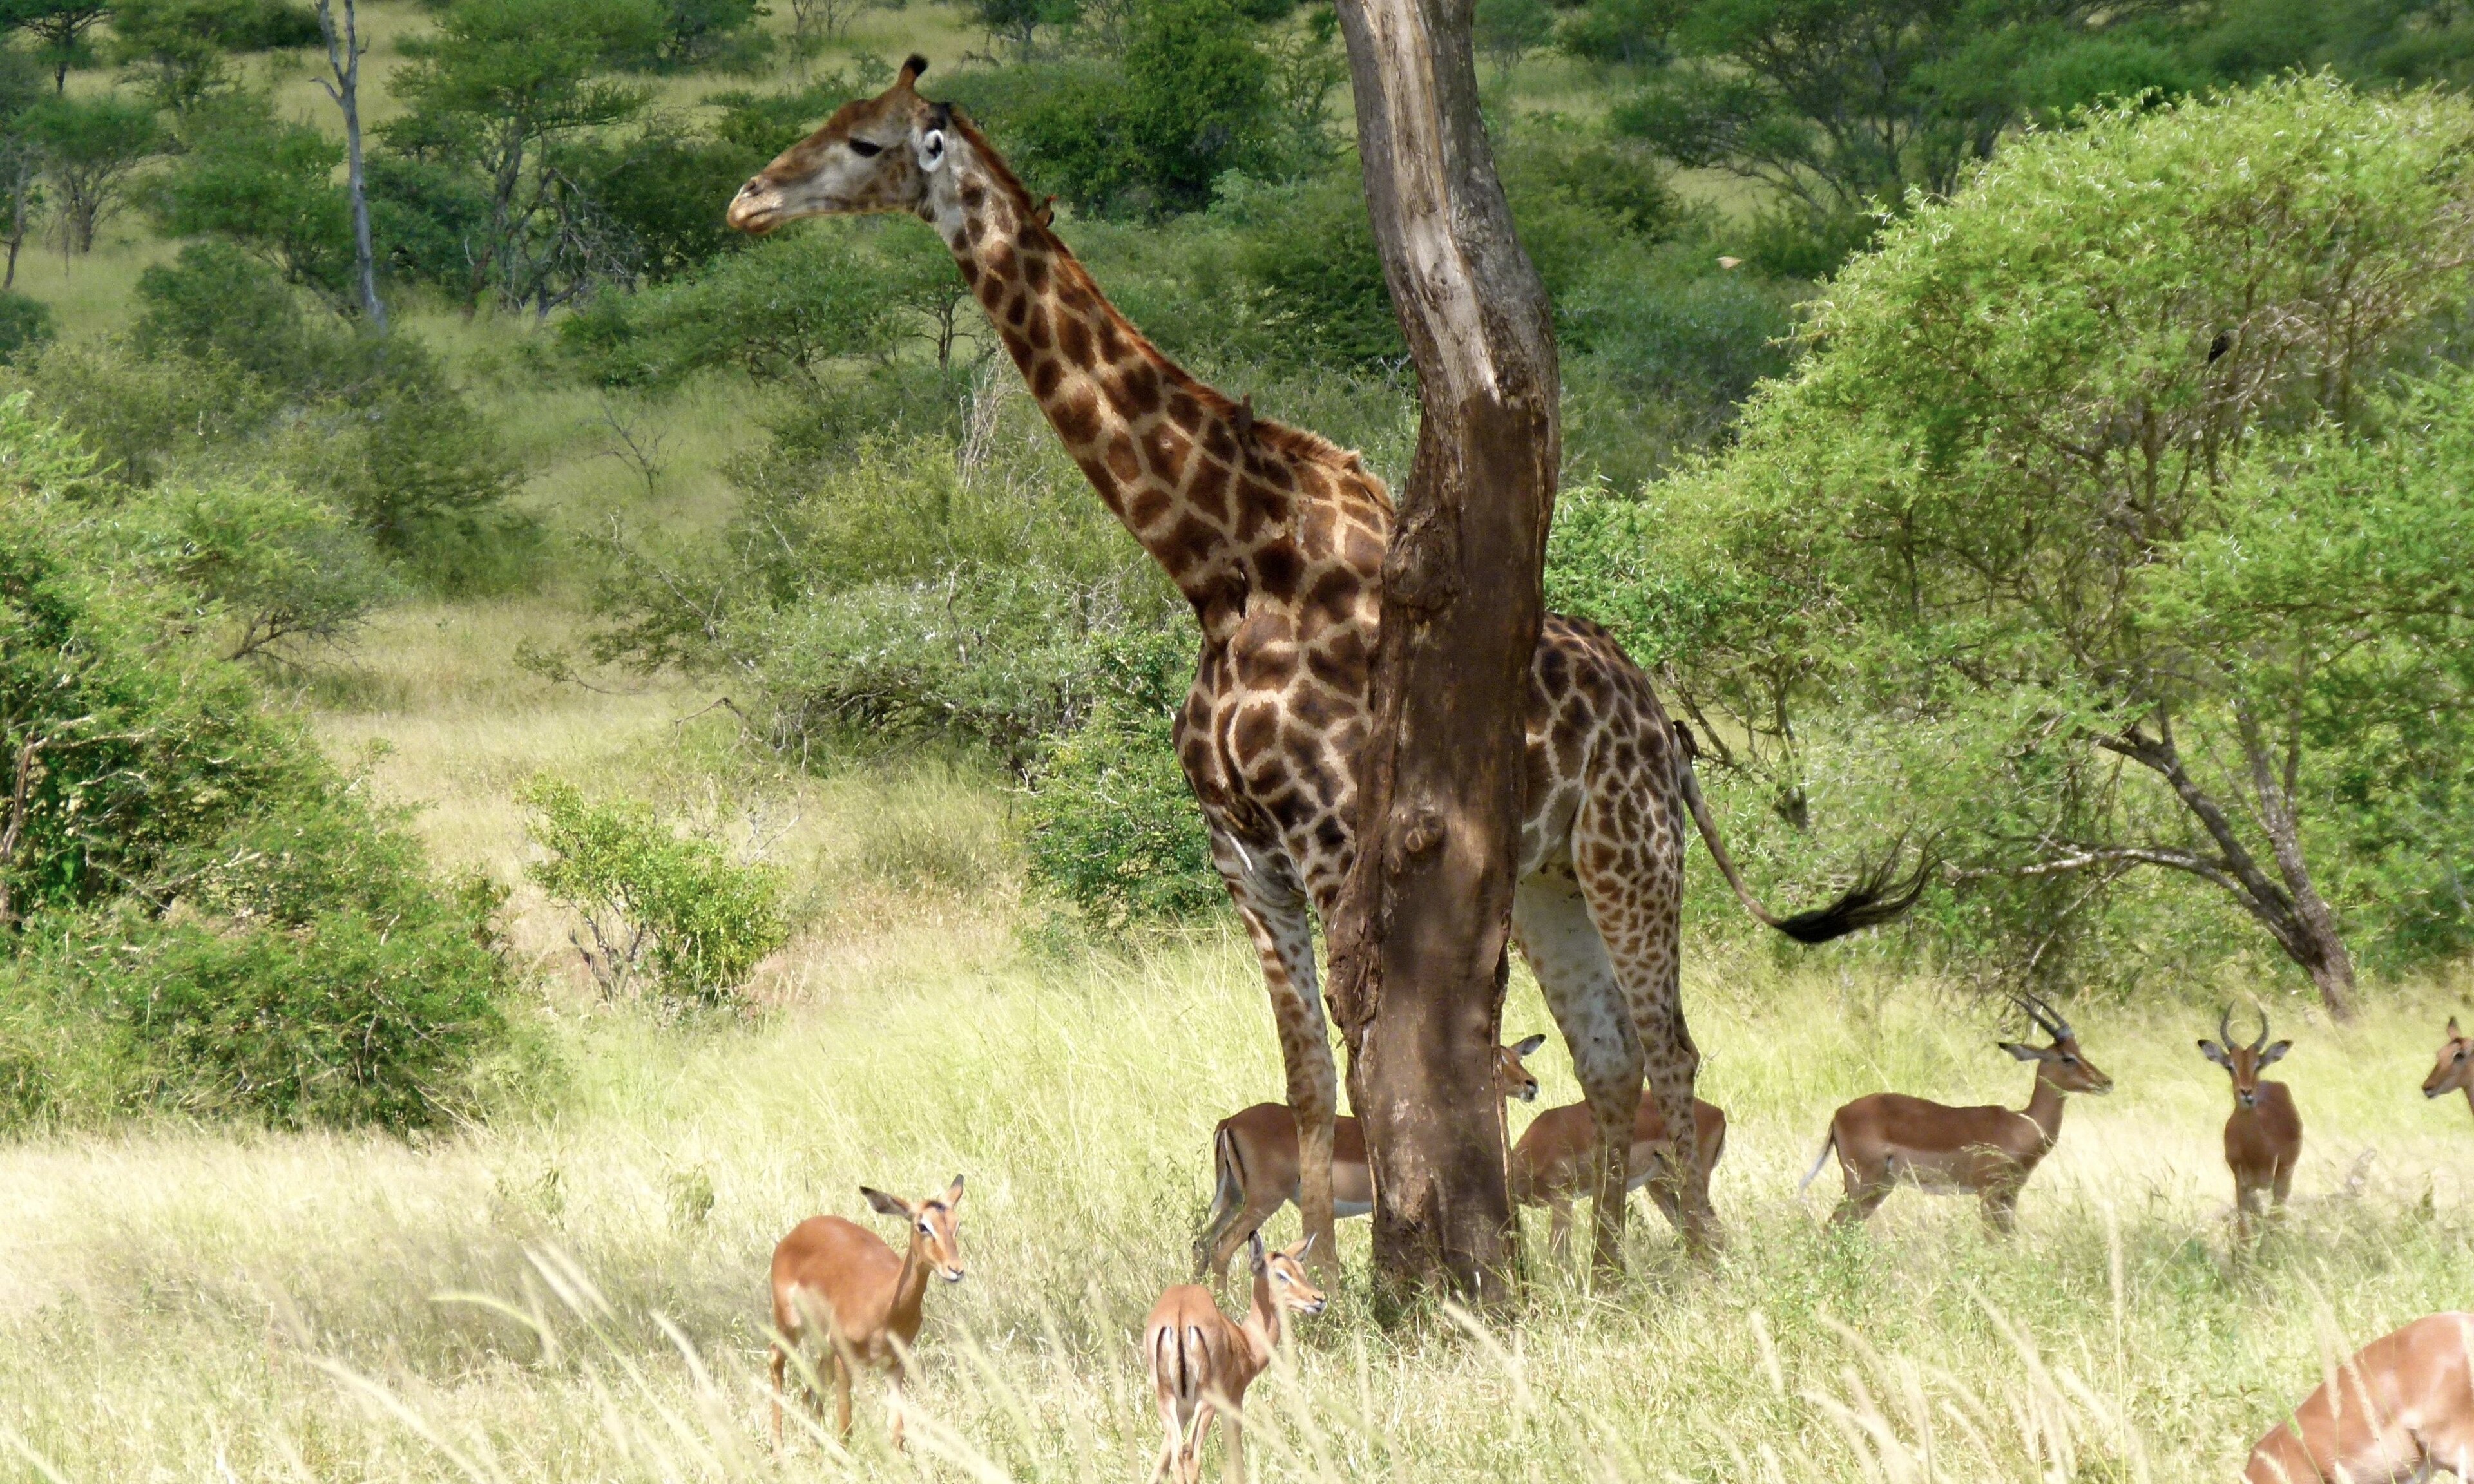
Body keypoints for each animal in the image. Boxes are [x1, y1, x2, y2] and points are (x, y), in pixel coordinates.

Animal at [726, 57, 1919, 1272]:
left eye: (867, 141)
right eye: (826, 120)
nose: (748, 202)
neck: (1225, 560)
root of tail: (1668, 732)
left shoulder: (1337, 832)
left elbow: (1373, 1061)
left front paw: (1376, 1275)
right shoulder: (1242, 848)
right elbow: (1306, 1081)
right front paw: (1323, 1282)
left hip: (1630, 851)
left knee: (1672, 1045)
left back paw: (1700, 1257)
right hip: (1550, 878)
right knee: (1611, 1056)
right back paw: (1613, 1273)